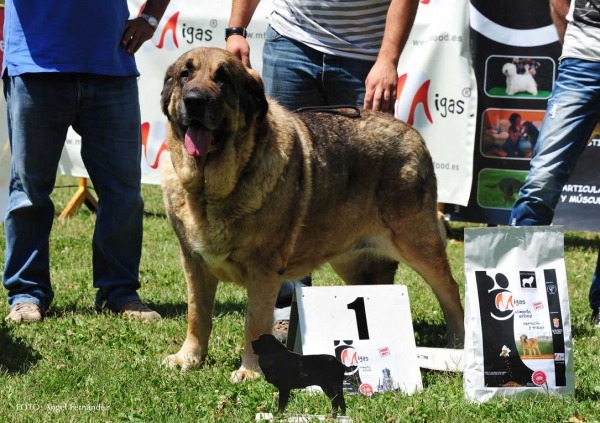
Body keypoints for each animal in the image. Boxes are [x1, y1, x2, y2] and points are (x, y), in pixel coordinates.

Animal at [159, 48, 464, 382]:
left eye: (223, 78)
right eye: (185, 74)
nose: (194, 100)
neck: (211, 190)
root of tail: (413, 134)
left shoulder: (263, 270)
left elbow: (255, 322)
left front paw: (250, 371)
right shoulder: (193, 263)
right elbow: (197, 315)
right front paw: (189, 358)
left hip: (417, 244)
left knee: (450, 290)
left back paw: (457, 344)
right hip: (349, 258)